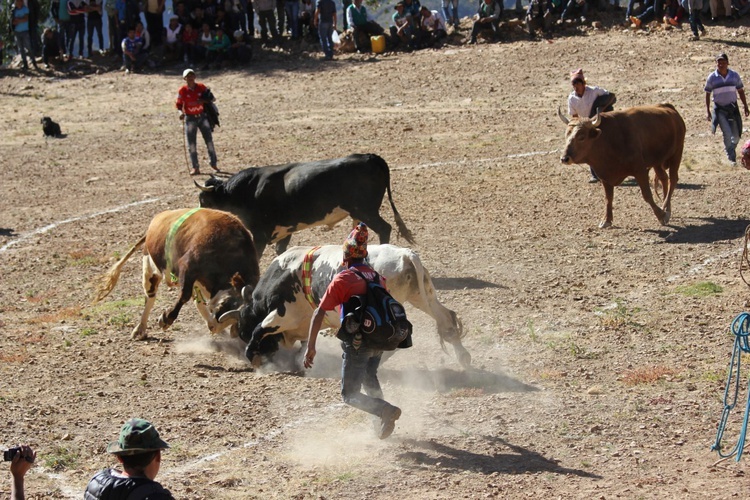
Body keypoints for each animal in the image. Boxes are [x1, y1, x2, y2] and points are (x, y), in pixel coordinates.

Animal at [93, 207, 262, 340]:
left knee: (197, 302)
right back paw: (140, 329)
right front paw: (165, 319)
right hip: (149, 267)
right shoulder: (187, 268)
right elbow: (184, 296)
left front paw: (214, 326)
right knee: (150, 297)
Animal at [194, 152, 418, 256]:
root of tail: (370, 157)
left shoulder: (260, 235)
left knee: (384, 228)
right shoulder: (285, 230)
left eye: (203, 200)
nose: (199, 219)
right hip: (361, 214)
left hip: (366, 211)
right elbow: (280, 251)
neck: (247, 190)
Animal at [220, 244, 472, 370]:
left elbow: (260, 328)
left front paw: (252, 356)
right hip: (421, 295)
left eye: (242, 330)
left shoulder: (284, 314)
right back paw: (464, 358)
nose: (269, 356)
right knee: (446, 322)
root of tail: (406, 255)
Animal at [560, 103, 688, 229]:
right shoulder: (604, 175)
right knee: (664, 178)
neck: (608, 140)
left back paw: (666, 208)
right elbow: (608, 198)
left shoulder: (640, 170)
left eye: (581, 137)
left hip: (677, 153)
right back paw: (666, 206)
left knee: (673, 179)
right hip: (657, 162)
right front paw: (606, 220)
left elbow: (647, 195)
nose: (564, 158)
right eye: (566, 135)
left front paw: (661, 215)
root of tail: (668, 107)